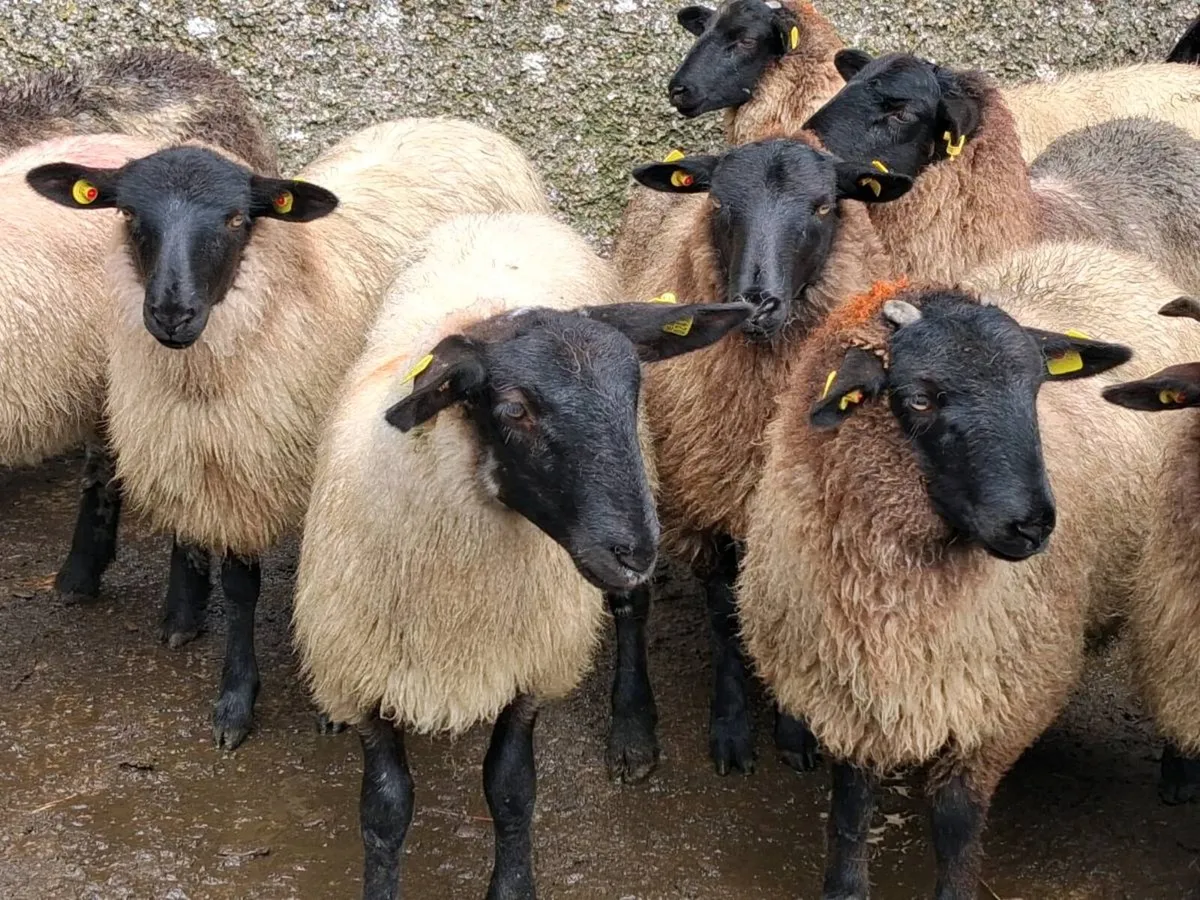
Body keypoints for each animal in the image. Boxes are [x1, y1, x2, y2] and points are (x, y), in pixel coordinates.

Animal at [25, 117, 551, 750]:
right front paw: (209, 655)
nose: (171, 313)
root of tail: (455, 121)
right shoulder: (205, 456)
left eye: (234, 219)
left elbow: (276, 582)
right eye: (128, 213)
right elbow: (215, 560)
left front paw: (267, 701)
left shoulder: (286, 466)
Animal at [291, 211, 752, 900]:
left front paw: (512, 885)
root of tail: (506, 219)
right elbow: (384, 809)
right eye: (514, 410)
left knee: (631, 612)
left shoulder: (530, 659)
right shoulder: (362, 668)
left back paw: (633, 730)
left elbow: (510, 789)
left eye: (635, 390)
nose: (634, 551)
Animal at [605, 137, 911, 782]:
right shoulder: (709, 501)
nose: (756, 301)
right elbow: (726, 617)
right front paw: (730, 730)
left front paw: (795, 732)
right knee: (630, 602)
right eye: (721, 204)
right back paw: (632, 730)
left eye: (822, 206)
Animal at [736, 242, 1199, 898]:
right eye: (920, 397)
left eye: (1035, 387)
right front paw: (845, 886)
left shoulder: (992, 703)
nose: (1031, 525)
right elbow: (850, 808)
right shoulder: (847, 683)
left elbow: (956, 823)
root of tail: (1097, 251)